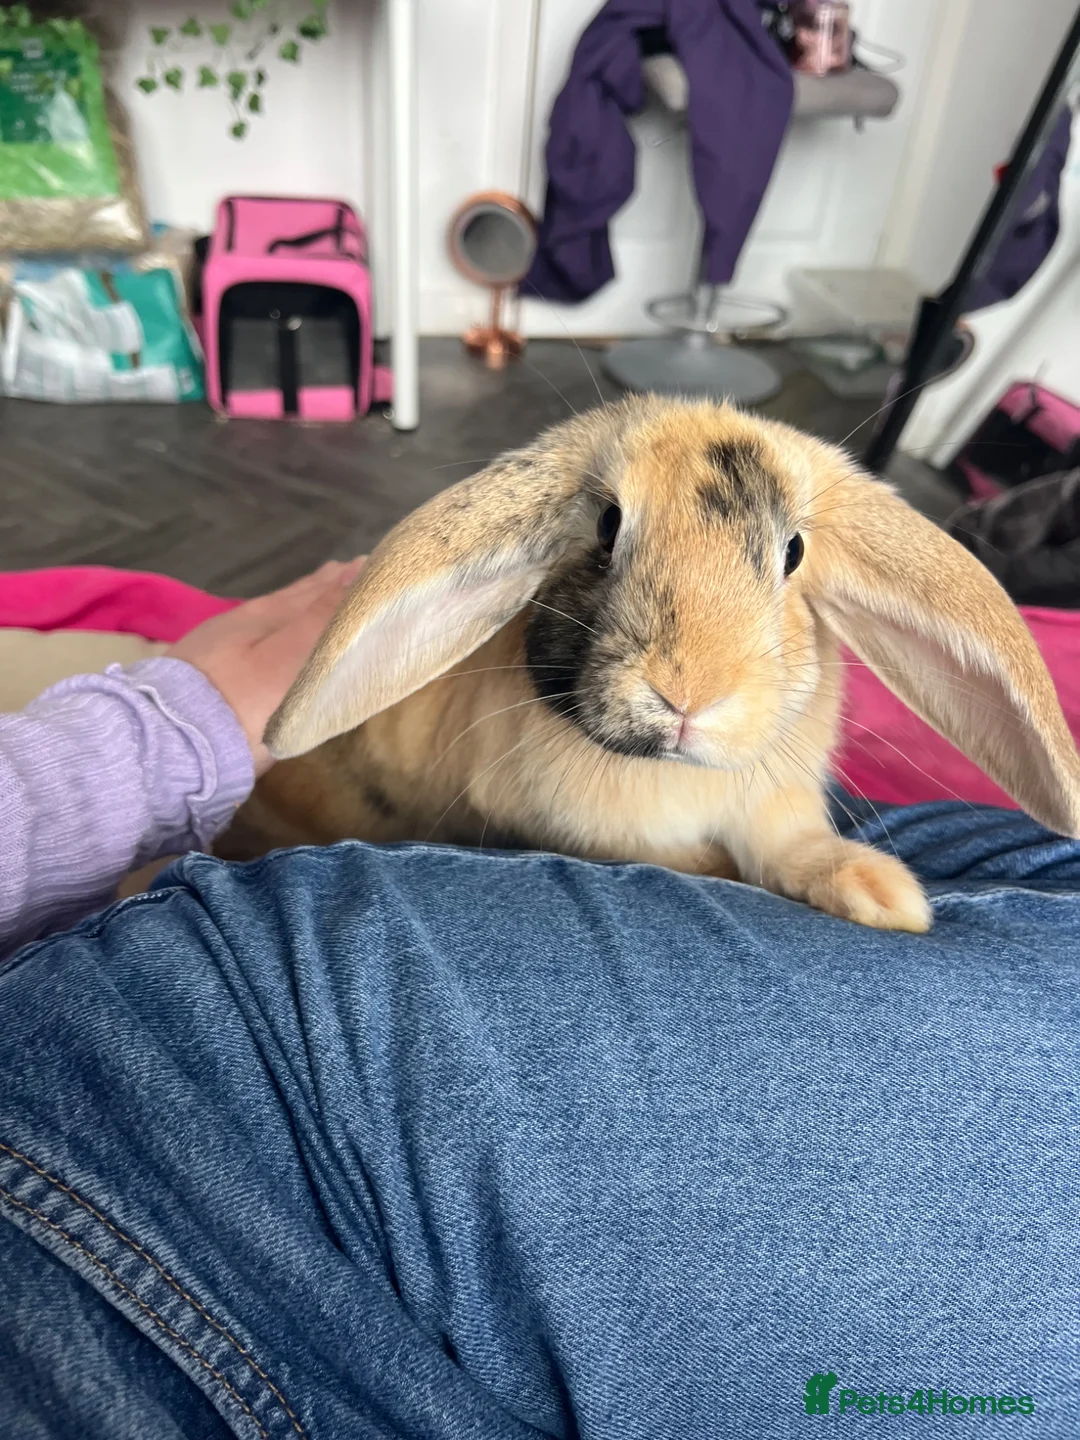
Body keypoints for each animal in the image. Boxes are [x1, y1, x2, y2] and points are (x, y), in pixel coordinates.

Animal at [216, 395, 1080, 932]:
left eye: (792, 552)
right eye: (607, 525)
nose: (688, 695)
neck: (674, 775)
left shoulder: (777, 811)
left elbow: (791, 851)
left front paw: (882, 895)